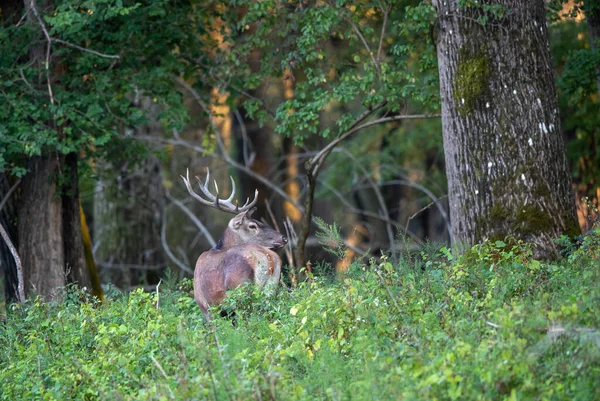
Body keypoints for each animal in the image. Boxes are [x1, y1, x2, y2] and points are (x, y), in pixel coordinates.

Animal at [180, 168, 288, 318]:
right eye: (253, 225)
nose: (283, 238)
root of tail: (269, 259)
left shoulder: (205, 305)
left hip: (240, 290)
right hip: (271, 289)